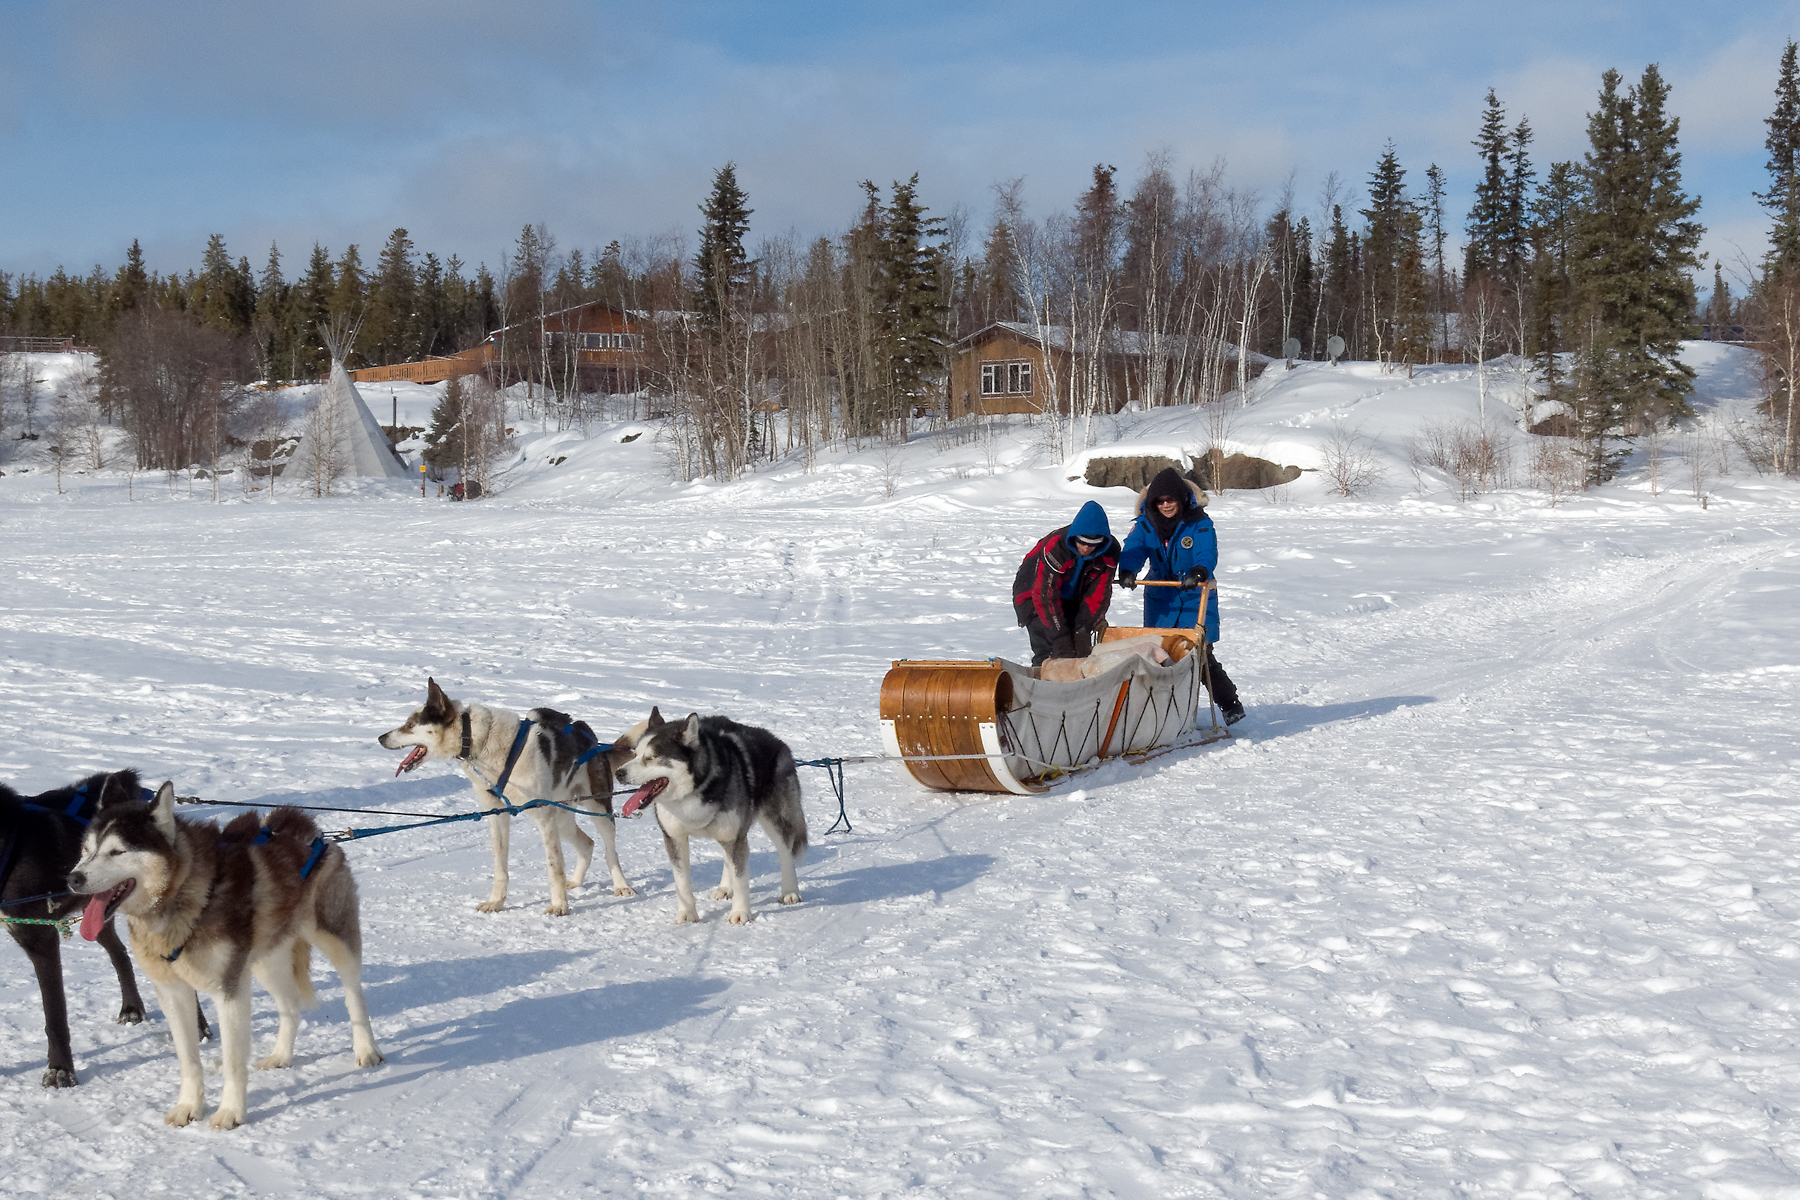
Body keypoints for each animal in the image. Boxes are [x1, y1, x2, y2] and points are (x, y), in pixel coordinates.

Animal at [3, 770, 212, 1086]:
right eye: (84, 848)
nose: (72, 879)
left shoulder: (42, 941)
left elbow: (55, 1015)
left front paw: (60, 1069)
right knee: (120, 954)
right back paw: (131, 1008)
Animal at [378, 676, 640, 921]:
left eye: (410, 724)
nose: (380, 738)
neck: (479, 741)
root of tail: (591, 737)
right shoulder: (497, 815)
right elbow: (500, 867)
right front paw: (496, 902)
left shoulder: (544, 818)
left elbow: (554, 866)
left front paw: (559, 906)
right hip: (561, 817)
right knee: (587, 844)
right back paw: (574, 881)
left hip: (596, 808)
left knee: (609, 850)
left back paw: (621, 886)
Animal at [615, 705, 806, 928]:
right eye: (635, 754)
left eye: (651, 757)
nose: (619, 773)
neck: (693, 792)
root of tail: (777, 742)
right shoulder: (675, 838)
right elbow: (682, 882)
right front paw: (687, 914)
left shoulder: (735, 837)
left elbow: (741, 878)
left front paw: (740, 913)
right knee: (727, 857)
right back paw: (725, 888)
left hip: (774, 820)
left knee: (785, 852)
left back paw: (790, 892)